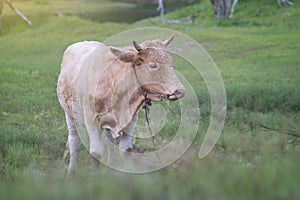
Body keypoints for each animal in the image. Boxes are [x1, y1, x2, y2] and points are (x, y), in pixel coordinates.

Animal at [56, 36, 185, 175]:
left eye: (171, 63)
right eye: (152, 65)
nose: (180, 91)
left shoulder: (131, 120)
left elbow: (125, 150)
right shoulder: (91, 120)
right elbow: (96, 153)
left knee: (110, 142)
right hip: (69, 113)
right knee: (74, 141)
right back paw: (71, 172)